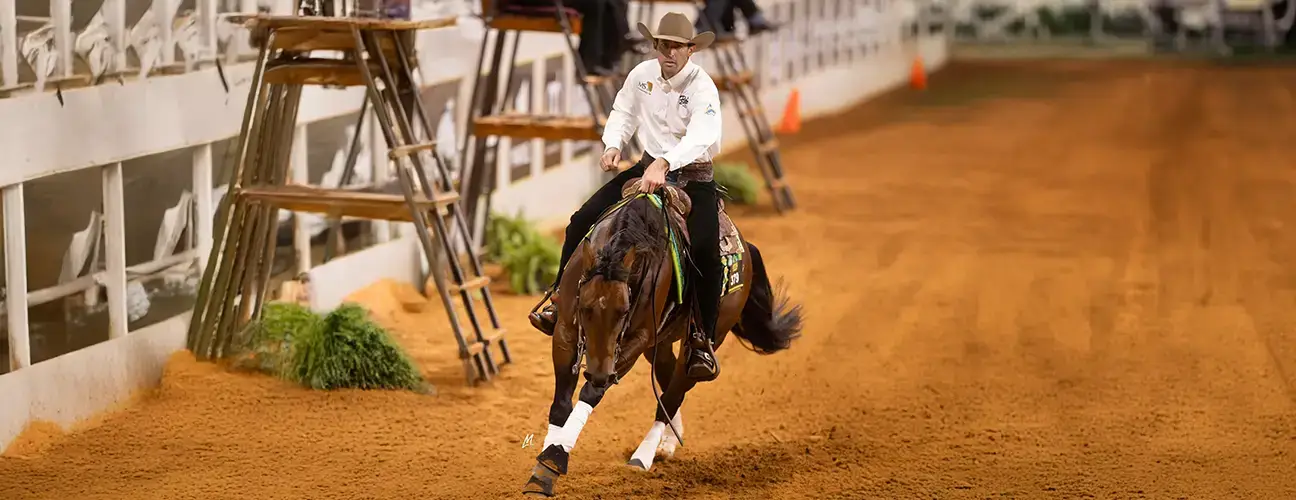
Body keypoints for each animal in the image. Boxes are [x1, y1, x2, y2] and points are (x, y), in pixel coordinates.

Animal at [522, 178, 805, 497]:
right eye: (585, 307)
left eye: (624, 310)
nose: (598, 373)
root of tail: (745, 247)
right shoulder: (565, 333)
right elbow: (561, 404)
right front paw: (542, 471)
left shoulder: (633, 343)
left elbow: (589, 395)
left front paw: (553, 459)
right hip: (660, 343)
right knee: (667, 379)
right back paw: (668, 441)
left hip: (703, 342)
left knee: (674, 392)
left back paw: (643, 455)